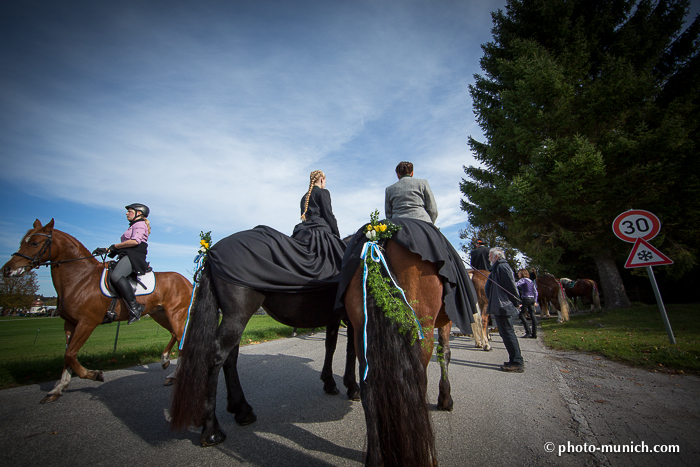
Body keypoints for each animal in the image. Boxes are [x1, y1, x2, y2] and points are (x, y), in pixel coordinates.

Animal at [1, 219, 193, 402]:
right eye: (22, 242)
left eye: (34, 243)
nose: (7, 269)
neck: (81, 278)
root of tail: (187, 282)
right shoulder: (69, 323)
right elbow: (66, 355)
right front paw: (58, 389)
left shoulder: (87, 322)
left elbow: (70, 354)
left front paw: (94, 374)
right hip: (159, 315)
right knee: (176, 336)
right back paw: (166, 361)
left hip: (175, 314)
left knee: (181, 339)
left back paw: (173, 372)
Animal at [167, 262, 358, 448]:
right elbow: (352, 349)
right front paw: (353, 387)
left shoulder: (334, 315)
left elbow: (331, 346)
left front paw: (329, 382)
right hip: (237, 315)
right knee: (216, 358)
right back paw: (211, 430)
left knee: (230, 358)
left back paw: (242, 409)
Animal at [344, 241, 454, 467]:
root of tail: (377, 240)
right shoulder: (444, 322)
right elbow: (445, 354)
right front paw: (445, 399)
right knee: (418, 386)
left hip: (361, 330)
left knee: (369, 391)